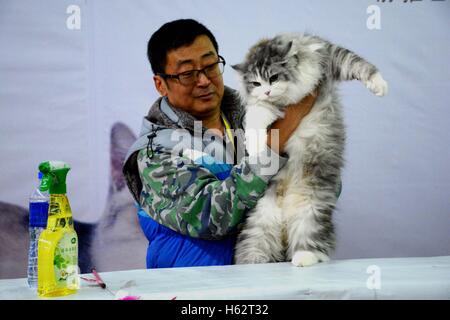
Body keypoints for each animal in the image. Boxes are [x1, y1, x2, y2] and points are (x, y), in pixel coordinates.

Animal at [232, 33, 386, 268]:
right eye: (256, 83)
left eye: (274, 77)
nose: (267, 91)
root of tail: (284, 220)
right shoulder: (262, 105)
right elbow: (256, 116)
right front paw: (255, 145)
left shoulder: (327, 56)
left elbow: (357, 63)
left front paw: (380, 85)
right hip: (258, 223)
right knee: (253, 249)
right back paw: (255, 264)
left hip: (311, 211)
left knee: (311, 243)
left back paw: (303, 259)